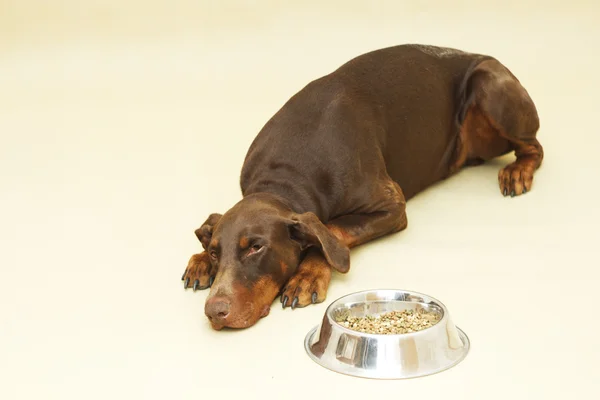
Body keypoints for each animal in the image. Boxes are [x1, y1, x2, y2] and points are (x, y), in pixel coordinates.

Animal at [182, 44, 544, 332]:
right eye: (216, 252)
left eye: (256, 247)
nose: (215, 311)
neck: (284, 176)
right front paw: (199, 259)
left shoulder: (392, 206)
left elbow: (330, 229)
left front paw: (307, 275)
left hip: (491, 87)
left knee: (534, 147)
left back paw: (518, 172)